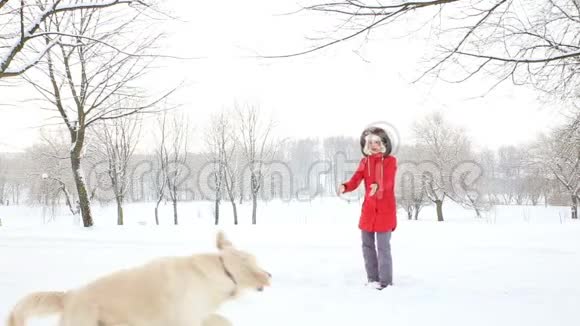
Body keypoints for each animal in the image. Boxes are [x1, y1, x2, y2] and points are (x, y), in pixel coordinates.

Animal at [5, 229, 272, 326]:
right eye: (257, 263)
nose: (270, 274)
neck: (221, 270)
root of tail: (68, 296)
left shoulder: (198, 313)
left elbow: (221, 319)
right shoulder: (184, 318)